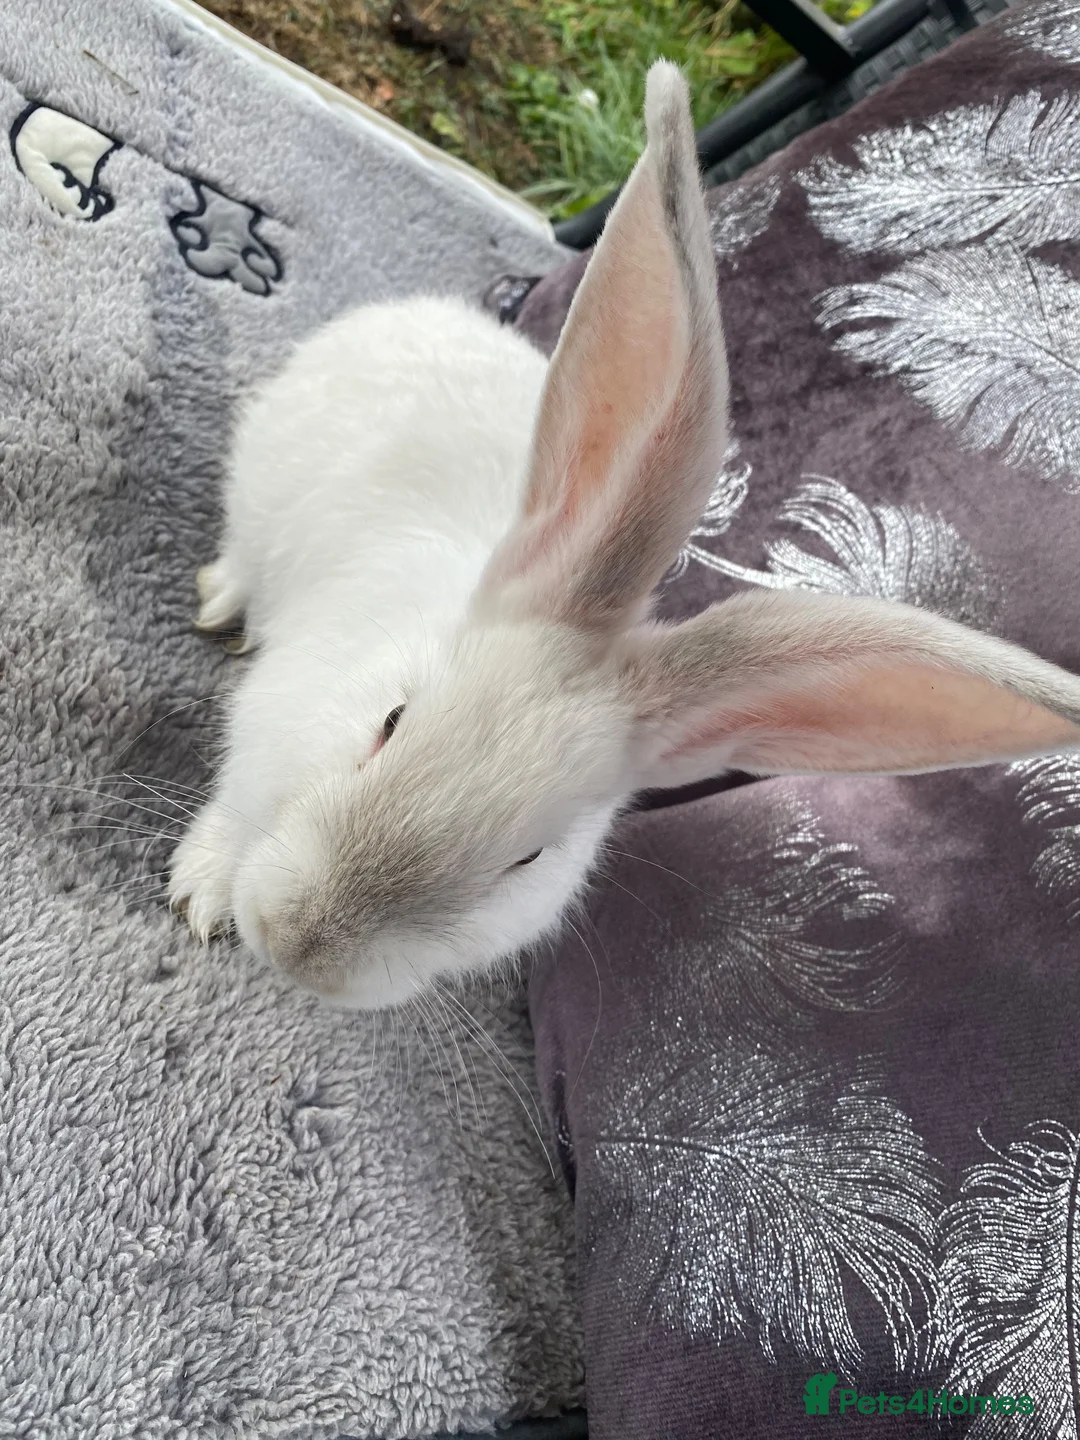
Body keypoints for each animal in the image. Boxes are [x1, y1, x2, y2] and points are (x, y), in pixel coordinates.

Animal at [169, 60, 1080, 1011]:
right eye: (391, 719)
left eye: (531, 858)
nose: (301, 945)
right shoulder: (259, 736)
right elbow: (231, 808)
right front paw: (202, 893)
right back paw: (223, 599)